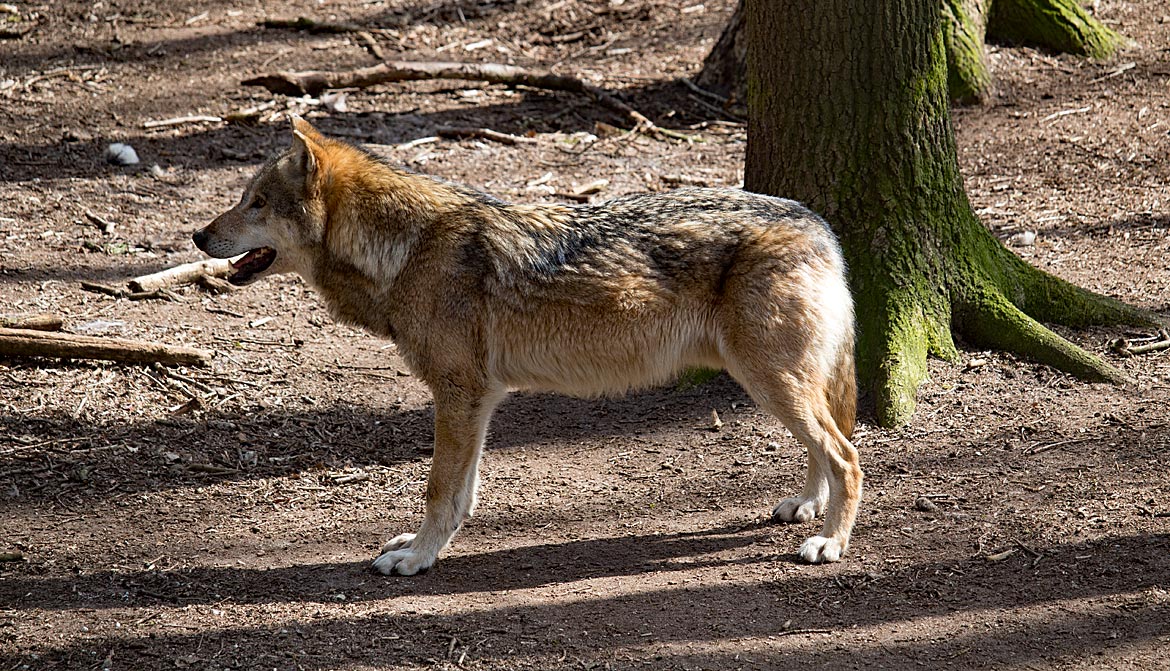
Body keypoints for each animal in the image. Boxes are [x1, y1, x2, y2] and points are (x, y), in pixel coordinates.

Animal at [191, 116, 865, 579]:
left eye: (256, 203)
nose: (197, 236)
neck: (406, 248)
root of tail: (817, 224)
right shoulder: (479, 399)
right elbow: (460, 493)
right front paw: (423, 547)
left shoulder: (459, 394)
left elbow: (438, 489)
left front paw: (417, 559)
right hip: (770, 383)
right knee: (828, 444)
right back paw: (806, 506)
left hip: (770, 381)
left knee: (847, 453)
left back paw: (831, 542)